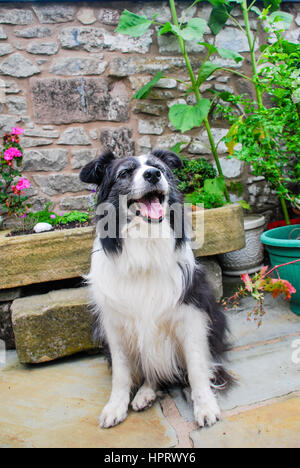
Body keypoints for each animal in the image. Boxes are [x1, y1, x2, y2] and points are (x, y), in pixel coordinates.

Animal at [79, 149, 232, 428]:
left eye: (159, 167)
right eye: (125, 173)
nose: (153, 175)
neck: (145, 243)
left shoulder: (192, 317)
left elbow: (196, 367)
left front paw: (204, 405)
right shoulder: (114, 326)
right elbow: (121, 373)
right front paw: (115, 406)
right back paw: (145, 393)